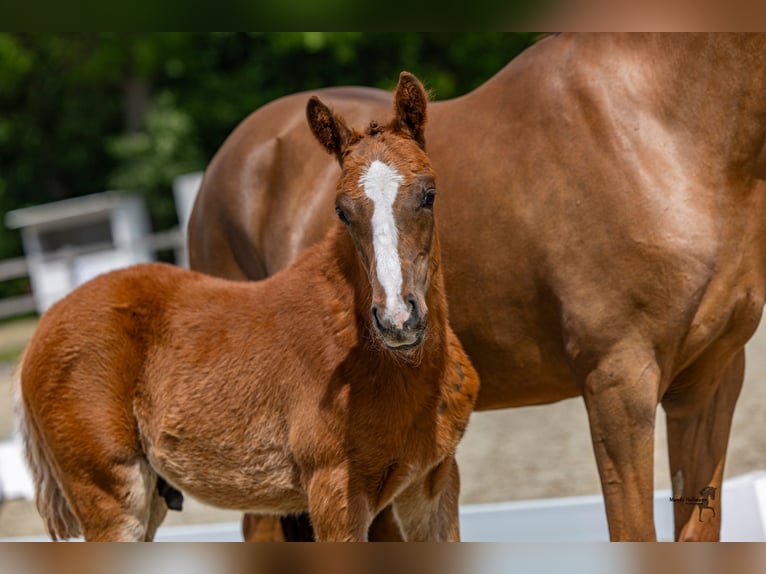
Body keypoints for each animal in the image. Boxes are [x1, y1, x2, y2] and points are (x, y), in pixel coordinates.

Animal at [16, 71, 479, 542]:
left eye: (429, 193)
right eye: (341, 211)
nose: (397, 319)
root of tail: (43, 326)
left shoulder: (435, 482)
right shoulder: (334, 494)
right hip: (110, 497)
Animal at [188, 33, 766, 542]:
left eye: (429, 195)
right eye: (340, 213)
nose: (396, 319)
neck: (659, 124)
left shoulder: (710, 383)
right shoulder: (618, 384)